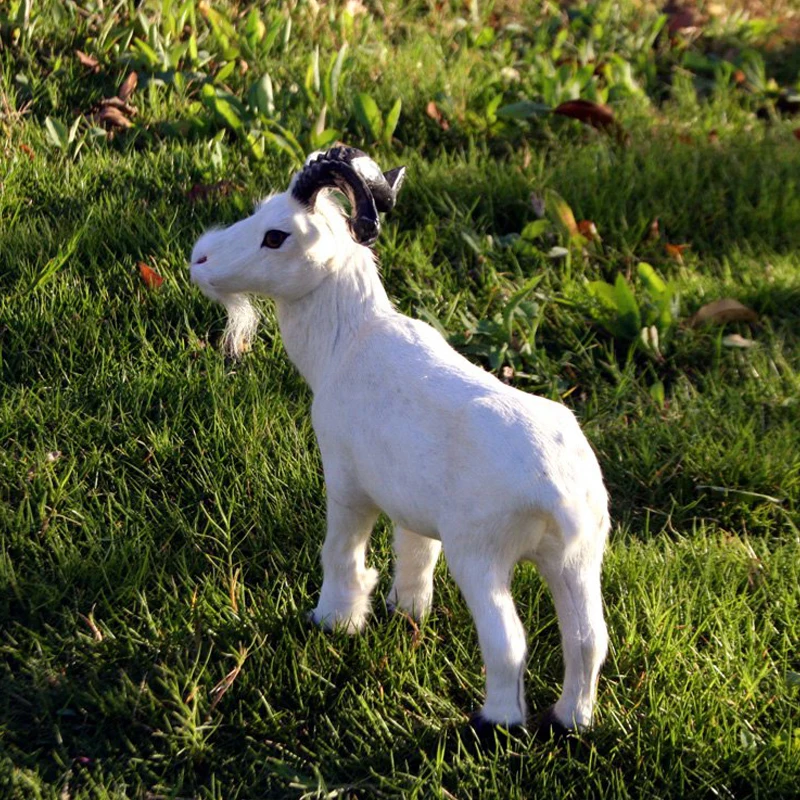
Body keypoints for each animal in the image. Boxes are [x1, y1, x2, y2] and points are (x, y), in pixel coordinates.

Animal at [189, 147, 609, 738]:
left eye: (276, 236)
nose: (199, 260)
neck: (349, 340)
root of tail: (561, 489)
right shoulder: (413, 513)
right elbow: (414, 558)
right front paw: (405, 613)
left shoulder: (347, 486)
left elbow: (341, 554)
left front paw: (335, 621)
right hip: (576, 560)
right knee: (588, 640)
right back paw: (571, 720)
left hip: (481, 557)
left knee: (508, 642)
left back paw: (495, 721)